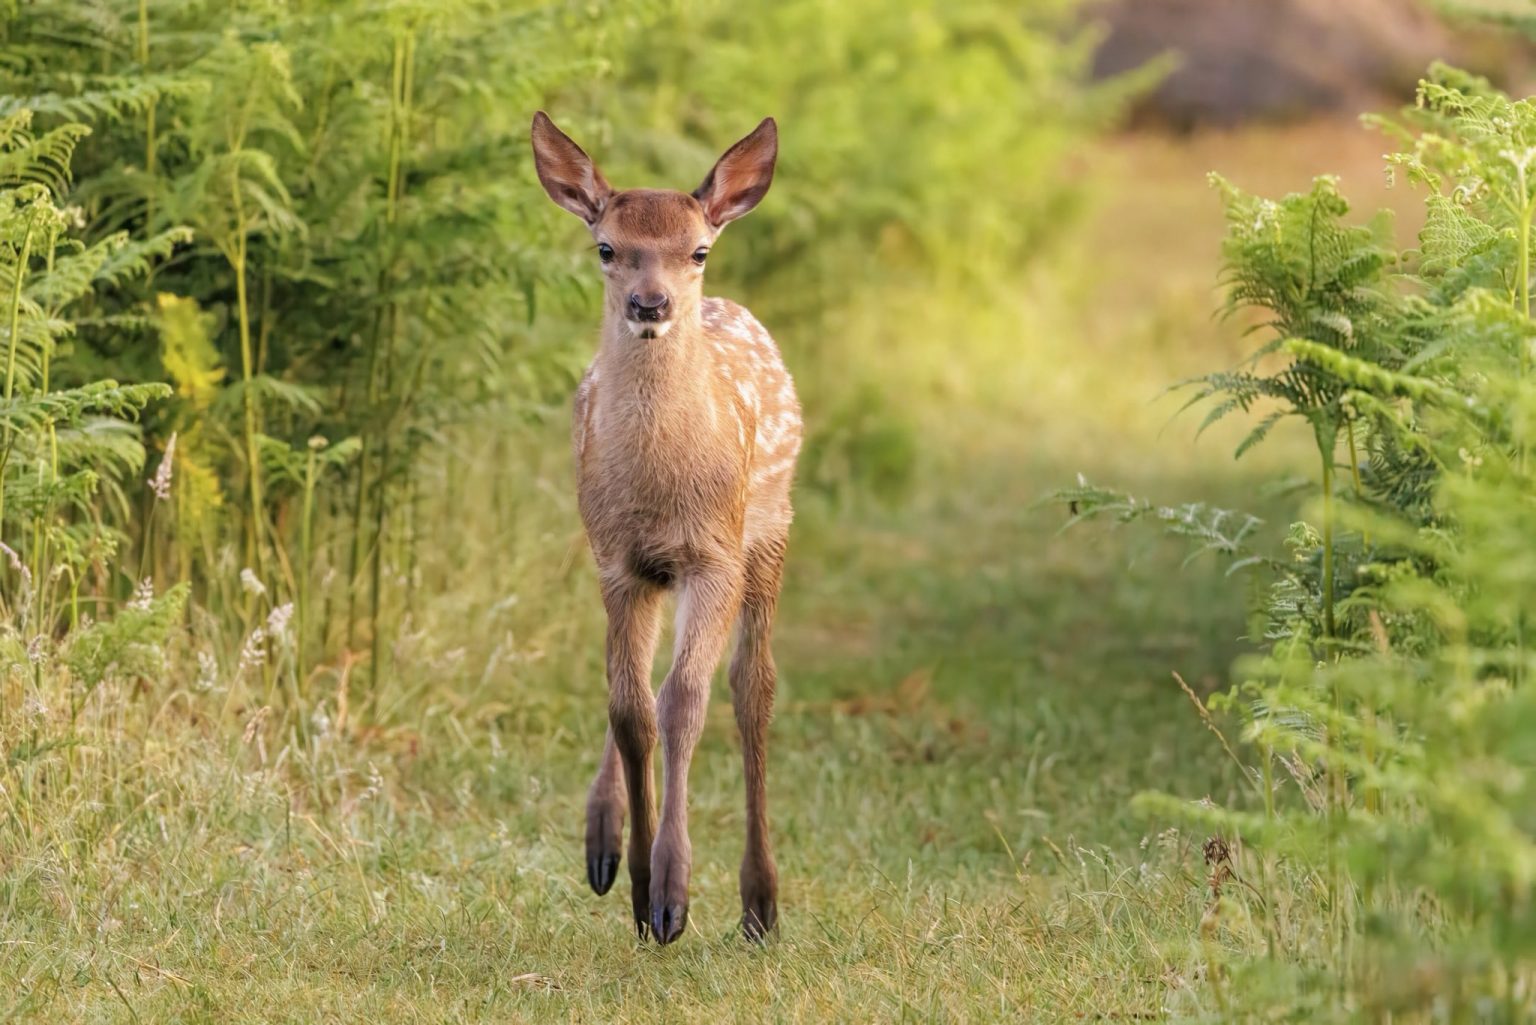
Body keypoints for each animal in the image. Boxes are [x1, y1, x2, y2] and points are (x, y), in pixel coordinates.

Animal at [530, 111, 800, 945]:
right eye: (607, 247)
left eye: (698, 250)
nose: (651, 304)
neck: (660, 488)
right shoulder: (618, 561)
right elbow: (630, 707)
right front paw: (642, 886)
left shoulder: (715, 555)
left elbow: (687, 700)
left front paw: (674, 894)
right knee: (641, 686)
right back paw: (604, 844)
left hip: (768, 529)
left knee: (752, 684)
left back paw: (760, 901)